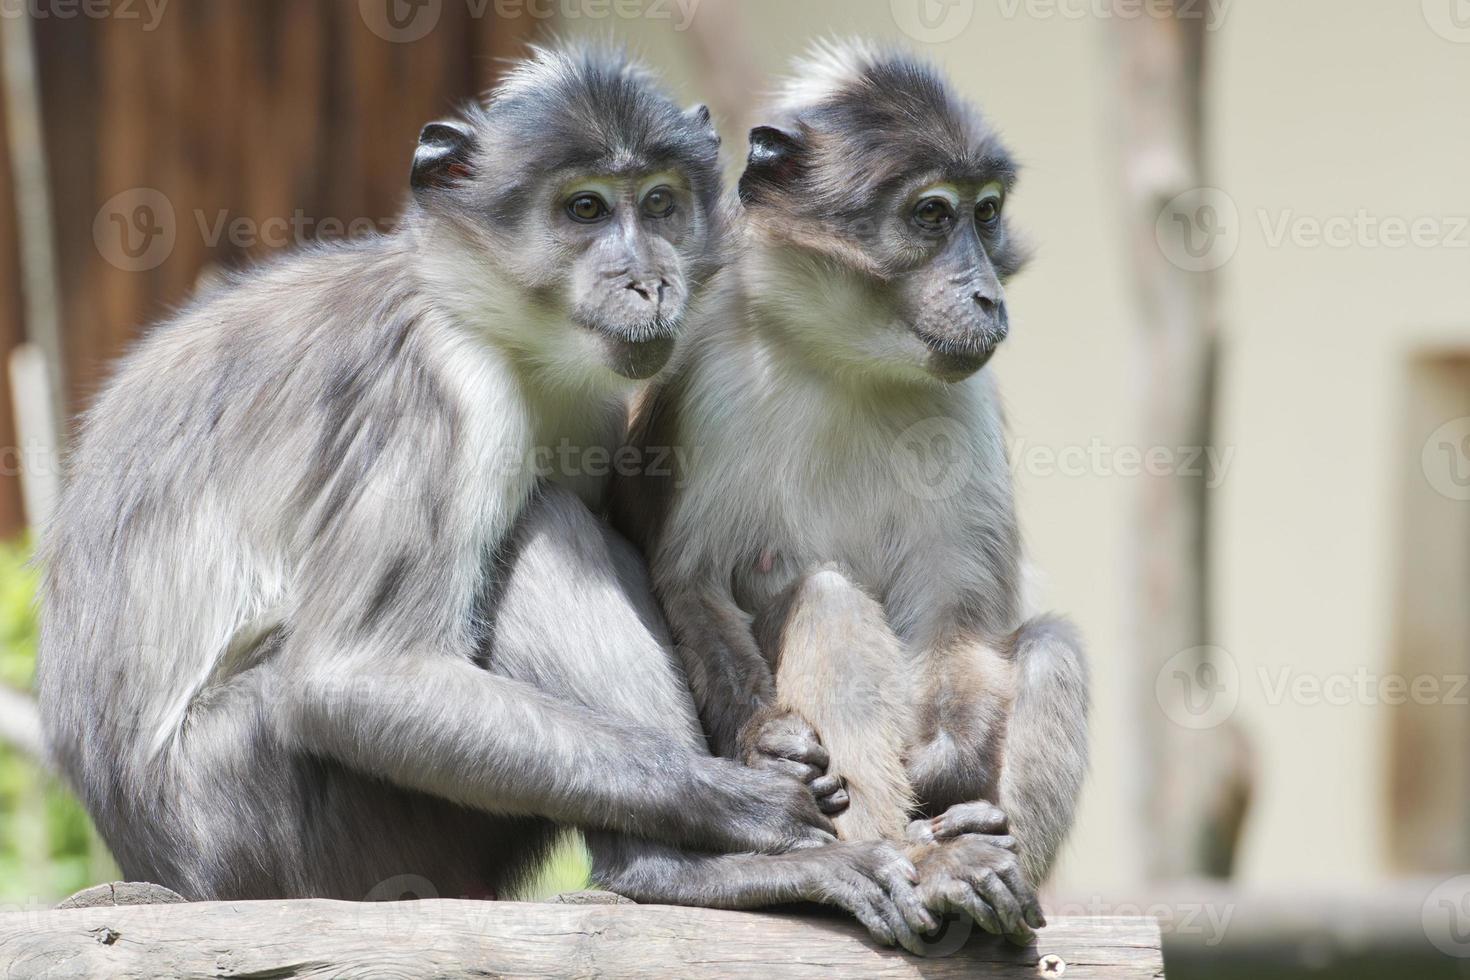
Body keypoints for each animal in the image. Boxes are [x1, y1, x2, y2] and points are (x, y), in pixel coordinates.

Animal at [37, 44, 940, 952]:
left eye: (659, 204)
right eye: (584, 209)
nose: (649, 282)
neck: (492, 323)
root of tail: (168, 868)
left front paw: (767, 745)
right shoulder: (440, 387)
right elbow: (351, 680)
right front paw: (746, 799)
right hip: (286, 828)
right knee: (540, 526)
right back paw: (671, 870)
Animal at [611, 40, 1093, 940]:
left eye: (986, 215)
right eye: (932, 216)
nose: (986, 294)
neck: (850, 361)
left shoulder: (967, 400)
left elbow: (957, 616)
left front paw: (944, 767)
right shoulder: (712, 366)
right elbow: (691, 581)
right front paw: (767, 743)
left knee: (1051, 646)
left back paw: (974, 860)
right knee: (828, 598)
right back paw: (923, 865)